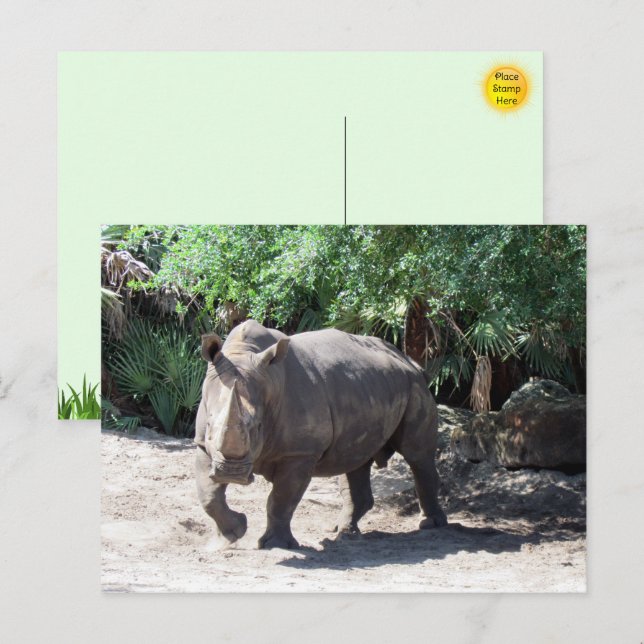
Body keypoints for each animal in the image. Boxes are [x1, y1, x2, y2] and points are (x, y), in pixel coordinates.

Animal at [195, 319, 447, 550]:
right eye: (209, 426)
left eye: (258, 427)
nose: (231, 473)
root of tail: (410, 362)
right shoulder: (203, 446)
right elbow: (209, 495)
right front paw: (231, 535)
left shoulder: (300, 452)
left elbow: (280, 500)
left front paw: (275, 546)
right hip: (367, 389)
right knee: (355, 460)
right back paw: (344, 534)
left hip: (414, 387)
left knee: (416, 455)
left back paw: (430, 524)